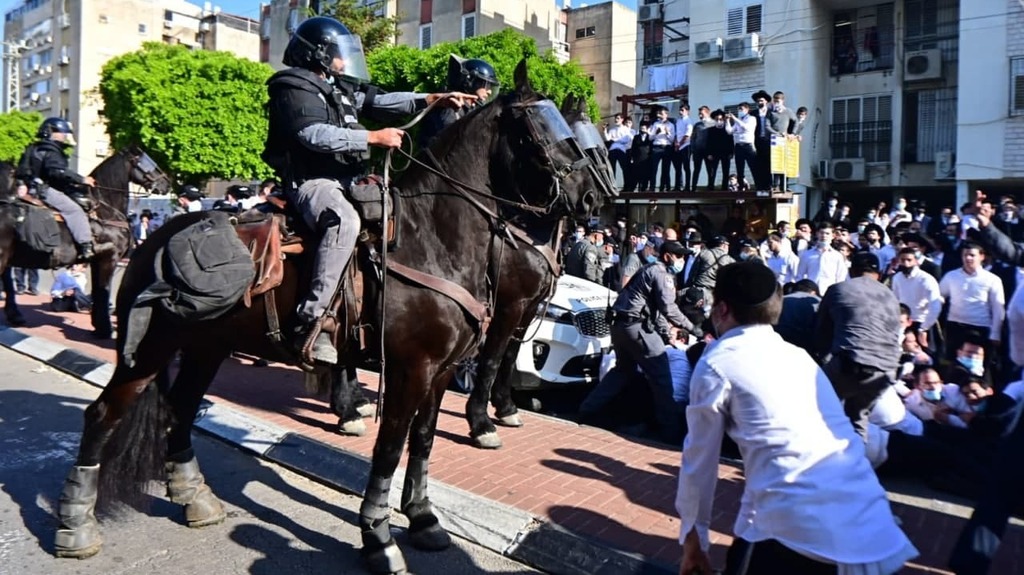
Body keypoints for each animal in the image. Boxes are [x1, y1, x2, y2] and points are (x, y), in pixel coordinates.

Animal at [0, 145, 172, 335]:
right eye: (146, 161)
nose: (167, 183)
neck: (105, 210)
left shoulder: (97, 260)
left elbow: (97, 291)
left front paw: (98, 324)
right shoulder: (109, 258)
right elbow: (103, 291)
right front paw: (104, 328)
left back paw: (15, 314)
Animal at [51, 59, 602, 572]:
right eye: (539, 129)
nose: (591, 198)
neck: (432, 239)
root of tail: (156, 240)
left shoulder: (443, 370)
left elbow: (423, 441)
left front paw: (423, 518)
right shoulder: (411, 369)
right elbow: (390, 449)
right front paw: (378, 537)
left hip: (206, 347)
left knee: (181, 409)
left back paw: (195, 498)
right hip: (149, 350)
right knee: (103, 414)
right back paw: (77, 524)